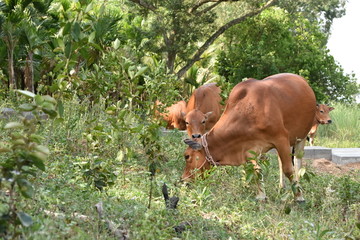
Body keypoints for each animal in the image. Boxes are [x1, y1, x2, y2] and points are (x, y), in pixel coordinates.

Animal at [183, 73, 316, 202]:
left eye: (187, 156)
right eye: (186, 122)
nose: (184, 180)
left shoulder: (281, 138)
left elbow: (288, 169)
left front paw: (298, 196)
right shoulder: (249, 149)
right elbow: (256, 170)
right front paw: (261, 196)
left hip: (301, 136)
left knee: (297, 162)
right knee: (280, 161)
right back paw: (281, 187)